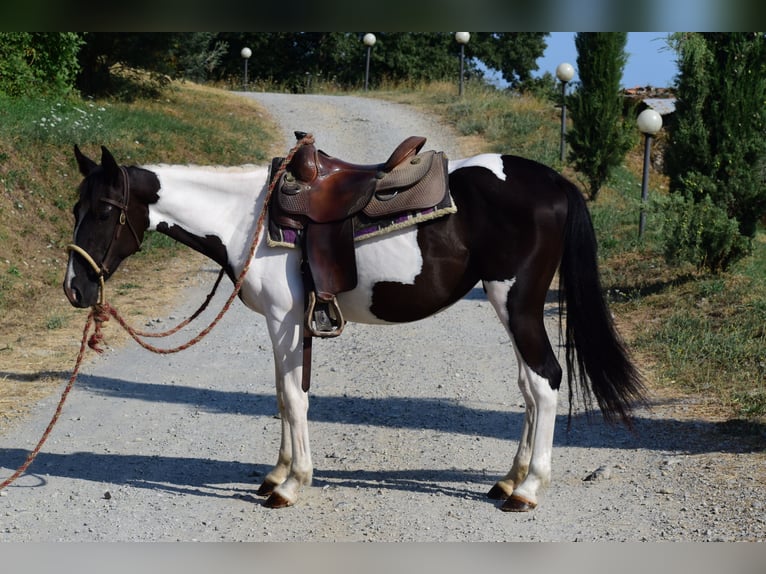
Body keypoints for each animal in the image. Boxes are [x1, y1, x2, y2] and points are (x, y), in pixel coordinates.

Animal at [63, 142, 644, 516]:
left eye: (105, 210)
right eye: (75, 207)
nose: (75, 288)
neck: (246, 219)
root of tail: (556, 182)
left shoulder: (285, 318)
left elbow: (293, 397)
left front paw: (291, 485)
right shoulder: (286, 324)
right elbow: (283, 395)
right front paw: (277, 473)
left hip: (516, 302)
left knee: (545, 382)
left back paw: (529, 490)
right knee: (528, 386)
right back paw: (508, 480)